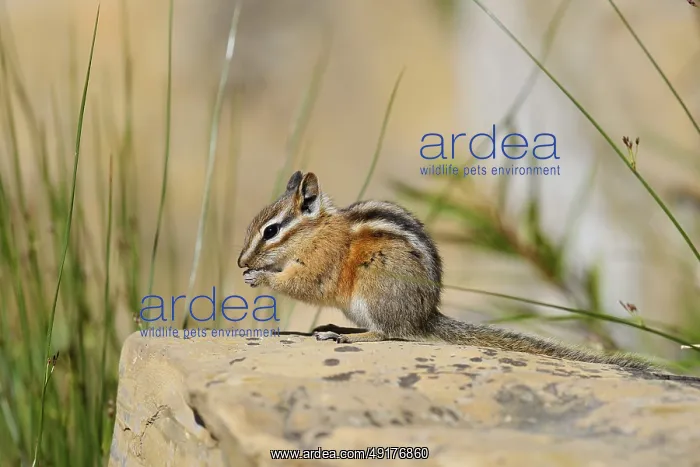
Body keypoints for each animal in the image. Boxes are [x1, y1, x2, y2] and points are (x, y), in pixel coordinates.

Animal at [237, 171, 657, 372]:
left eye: (271, 231)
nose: (241, 262)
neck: (317, 230)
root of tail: (426, 318)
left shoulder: (321, 265)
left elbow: (306, 285)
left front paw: (260, 277)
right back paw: (337, 327)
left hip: (376, 288)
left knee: (390, 333)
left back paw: (345, 336)